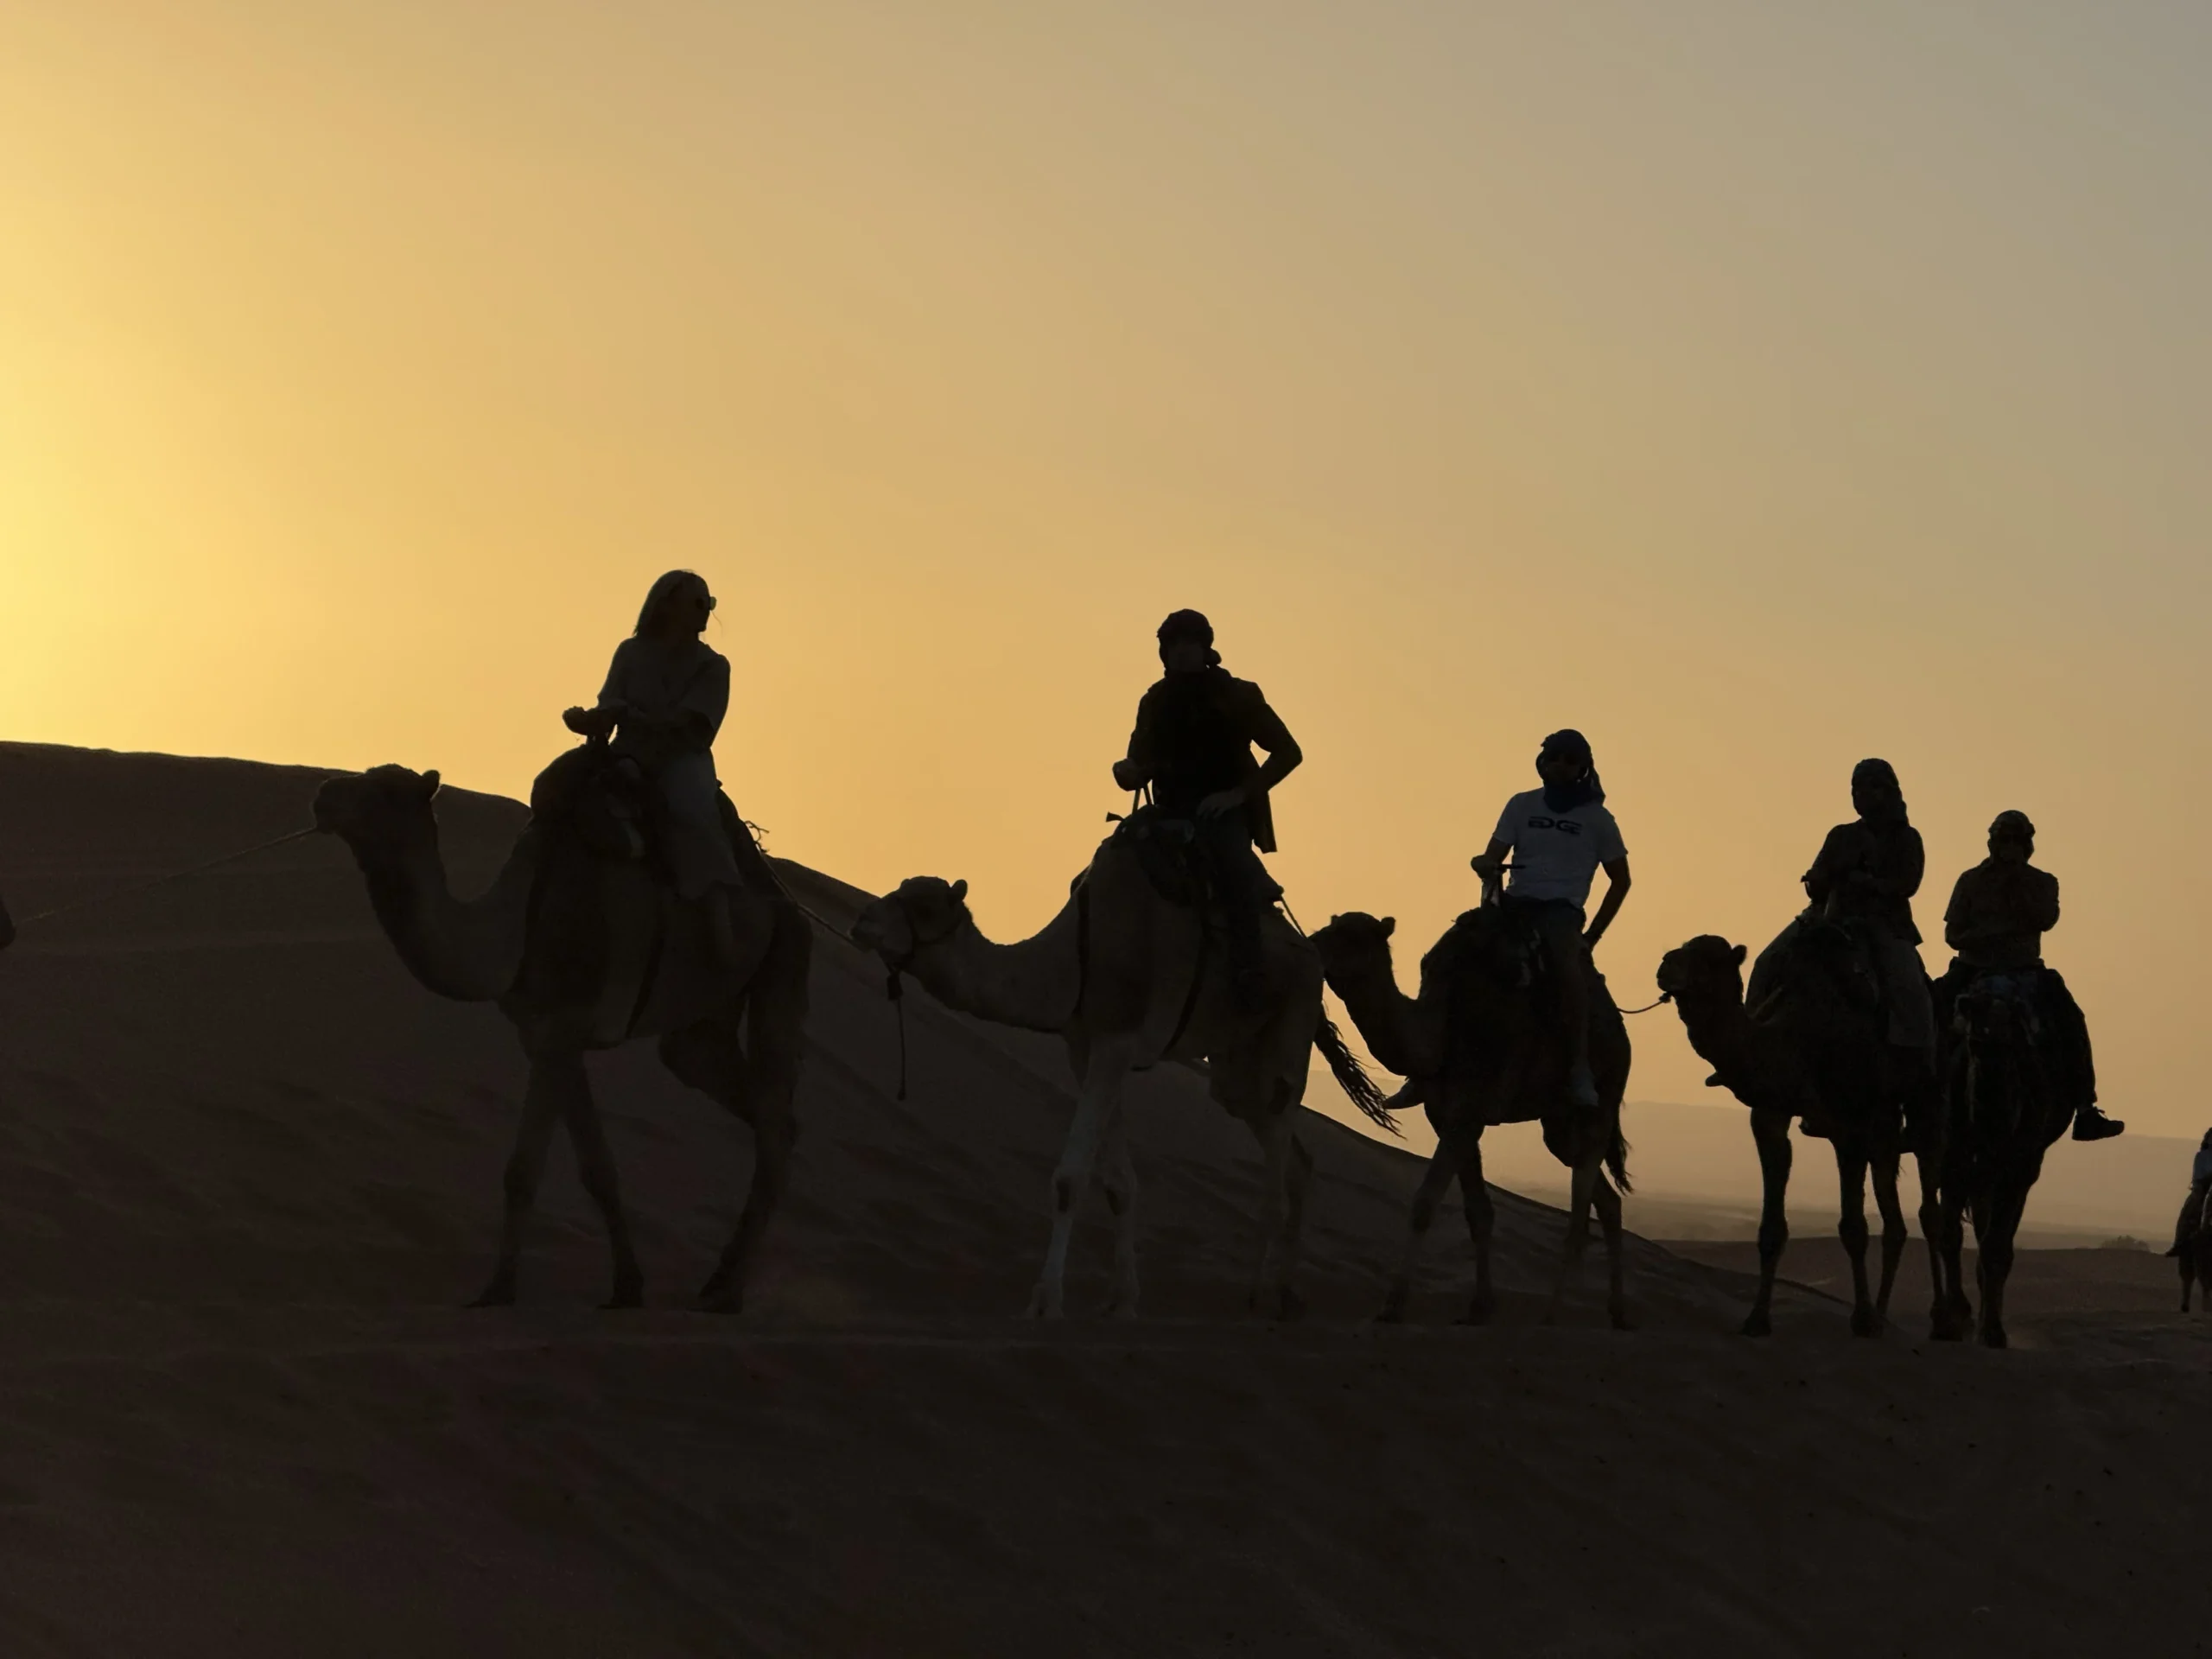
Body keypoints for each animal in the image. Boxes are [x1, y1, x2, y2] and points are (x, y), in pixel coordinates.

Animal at [311, 765, 814, 1309]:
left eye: (384, 789)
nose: (324, 794)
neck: (516, 927)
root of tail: (783, 900)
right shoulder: (544, 1037)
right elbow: (597, 1169)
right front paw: (625, 1287)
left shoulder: (561, 1028)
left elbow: (525, 1170)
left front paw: (498, 1290)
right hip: (706, 1016)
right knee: (728, 1083)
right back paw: (720, 1281)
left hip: (785, 960)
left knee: (774, 1122)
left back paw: (727, 1291)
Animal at [844, 836, 1380, 1318]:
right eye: (898, 889)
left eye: (924, 907)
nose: (862, 920)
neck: (1074, 962)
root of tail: (1312, 957)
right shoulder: (1086, 1049)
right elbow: (1119, 1186)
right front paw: (1122, 1299)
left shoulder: (1114, 1043)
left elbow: (1070, 1179)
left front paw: (1047, 1300)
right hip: (1234, 1069)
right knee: (1296, 1159)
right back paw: (1286, 1294)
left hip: (1288, 1032)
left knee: (1277, 1165)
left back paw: (1259, 1297)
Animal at [1309, 911, 1628, 1327]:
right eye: (1329, 926)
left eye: (1352, 936)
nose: (1310, 944)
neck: (1442, 1032)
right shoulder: (1444, 1115)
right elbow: (1479, 1212)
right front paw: (1479, 1307)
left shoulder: (1468, 1113)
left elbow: (1424, 1203)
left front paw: (1392, 1306)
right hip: (1558, 1125)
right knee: (1606, 1200)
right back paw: (1618, 1312)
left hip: (1602, 1102)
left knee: (1579, 1214)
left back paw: (1552, 1315)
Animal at [1654, 938, 1929, 1336]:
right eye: (1680, 948)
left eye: (1710, 958)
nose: (1664, 966)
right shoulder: (1771, 1112)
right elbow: (1772, 1227)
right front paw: (1756, 1319)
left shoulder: (1850, 1126)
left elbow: (1854, 1227)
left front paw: (1862, 1319)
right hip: (1884, 1138)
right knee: (1895, 1222)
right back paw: (1885, 1316)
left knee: (1928, 1214)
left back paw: (1935, 1320)